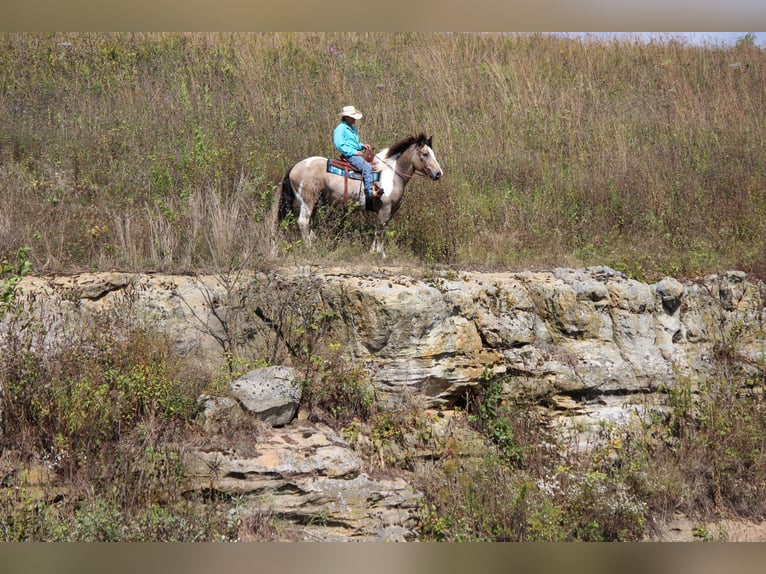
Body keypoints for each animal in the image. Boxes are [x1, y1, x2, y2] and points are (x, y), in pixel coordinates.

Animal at [278, 133, 444, 258]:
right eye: (425, 154)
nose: (438, 174)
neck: (391, 174)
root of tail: (295, 167)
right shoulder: (385, 209)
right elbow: (380, 231)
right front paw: (381, 254)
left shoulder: (390, 212)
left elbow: (379, 230)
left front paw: (373, 252)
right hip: (308, 201)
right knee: (303, 222)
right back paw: (311, 249)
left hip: (314, 203)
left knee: (309, 223)